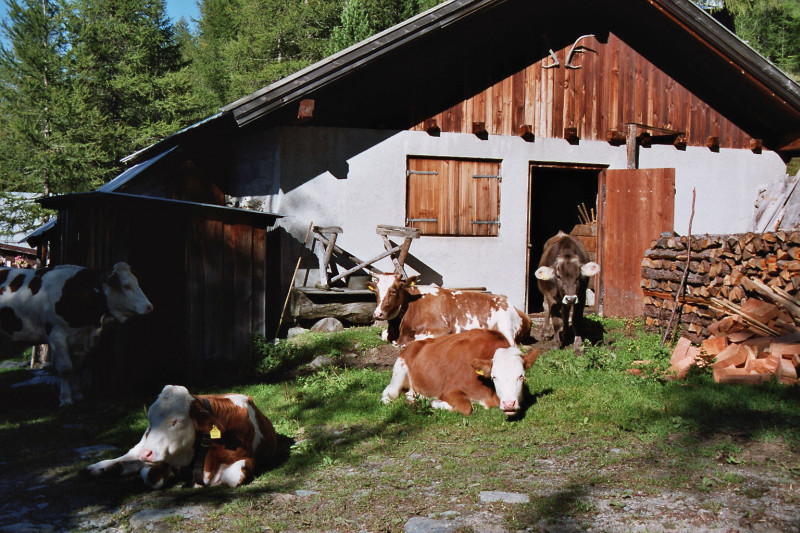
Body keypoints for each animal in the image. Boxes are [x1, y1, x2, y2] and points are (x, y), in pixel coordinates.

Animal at [0, 262, 153, 406]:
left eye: (137, 283)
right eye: (126, 286)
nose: (149, 307)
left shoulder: (79, 340)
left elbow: (77, 368)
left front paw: (78, 395)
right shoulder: (57, 337)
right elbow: (66, 369)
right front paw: (66, 399)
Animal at [86, 385, 278, 488]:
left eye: (176, 421)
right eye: (149, 418)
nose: (147, 453)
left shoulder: (246, 460)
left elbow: (230, 477)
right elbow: (151, 476)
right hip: (143, 442)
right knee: (130, 453)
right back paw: (98, 467)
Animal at [365, 273, 532, 348]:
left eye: (394, 290)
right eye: (376, 292)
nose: (377, 314)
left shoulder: (440, 329)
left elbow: (413, 340)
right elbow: (384, 335)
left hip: (506, 324)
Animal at [381, 329, 539, 416]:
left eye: (521, 376)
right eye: (494, 377)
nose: (509, 404)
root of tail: (414, 344)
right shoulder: (450, 390)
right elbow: (465, 407)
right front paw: (435, 402)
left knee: (409, 394)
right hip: (399, 370)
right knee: (389, 392)